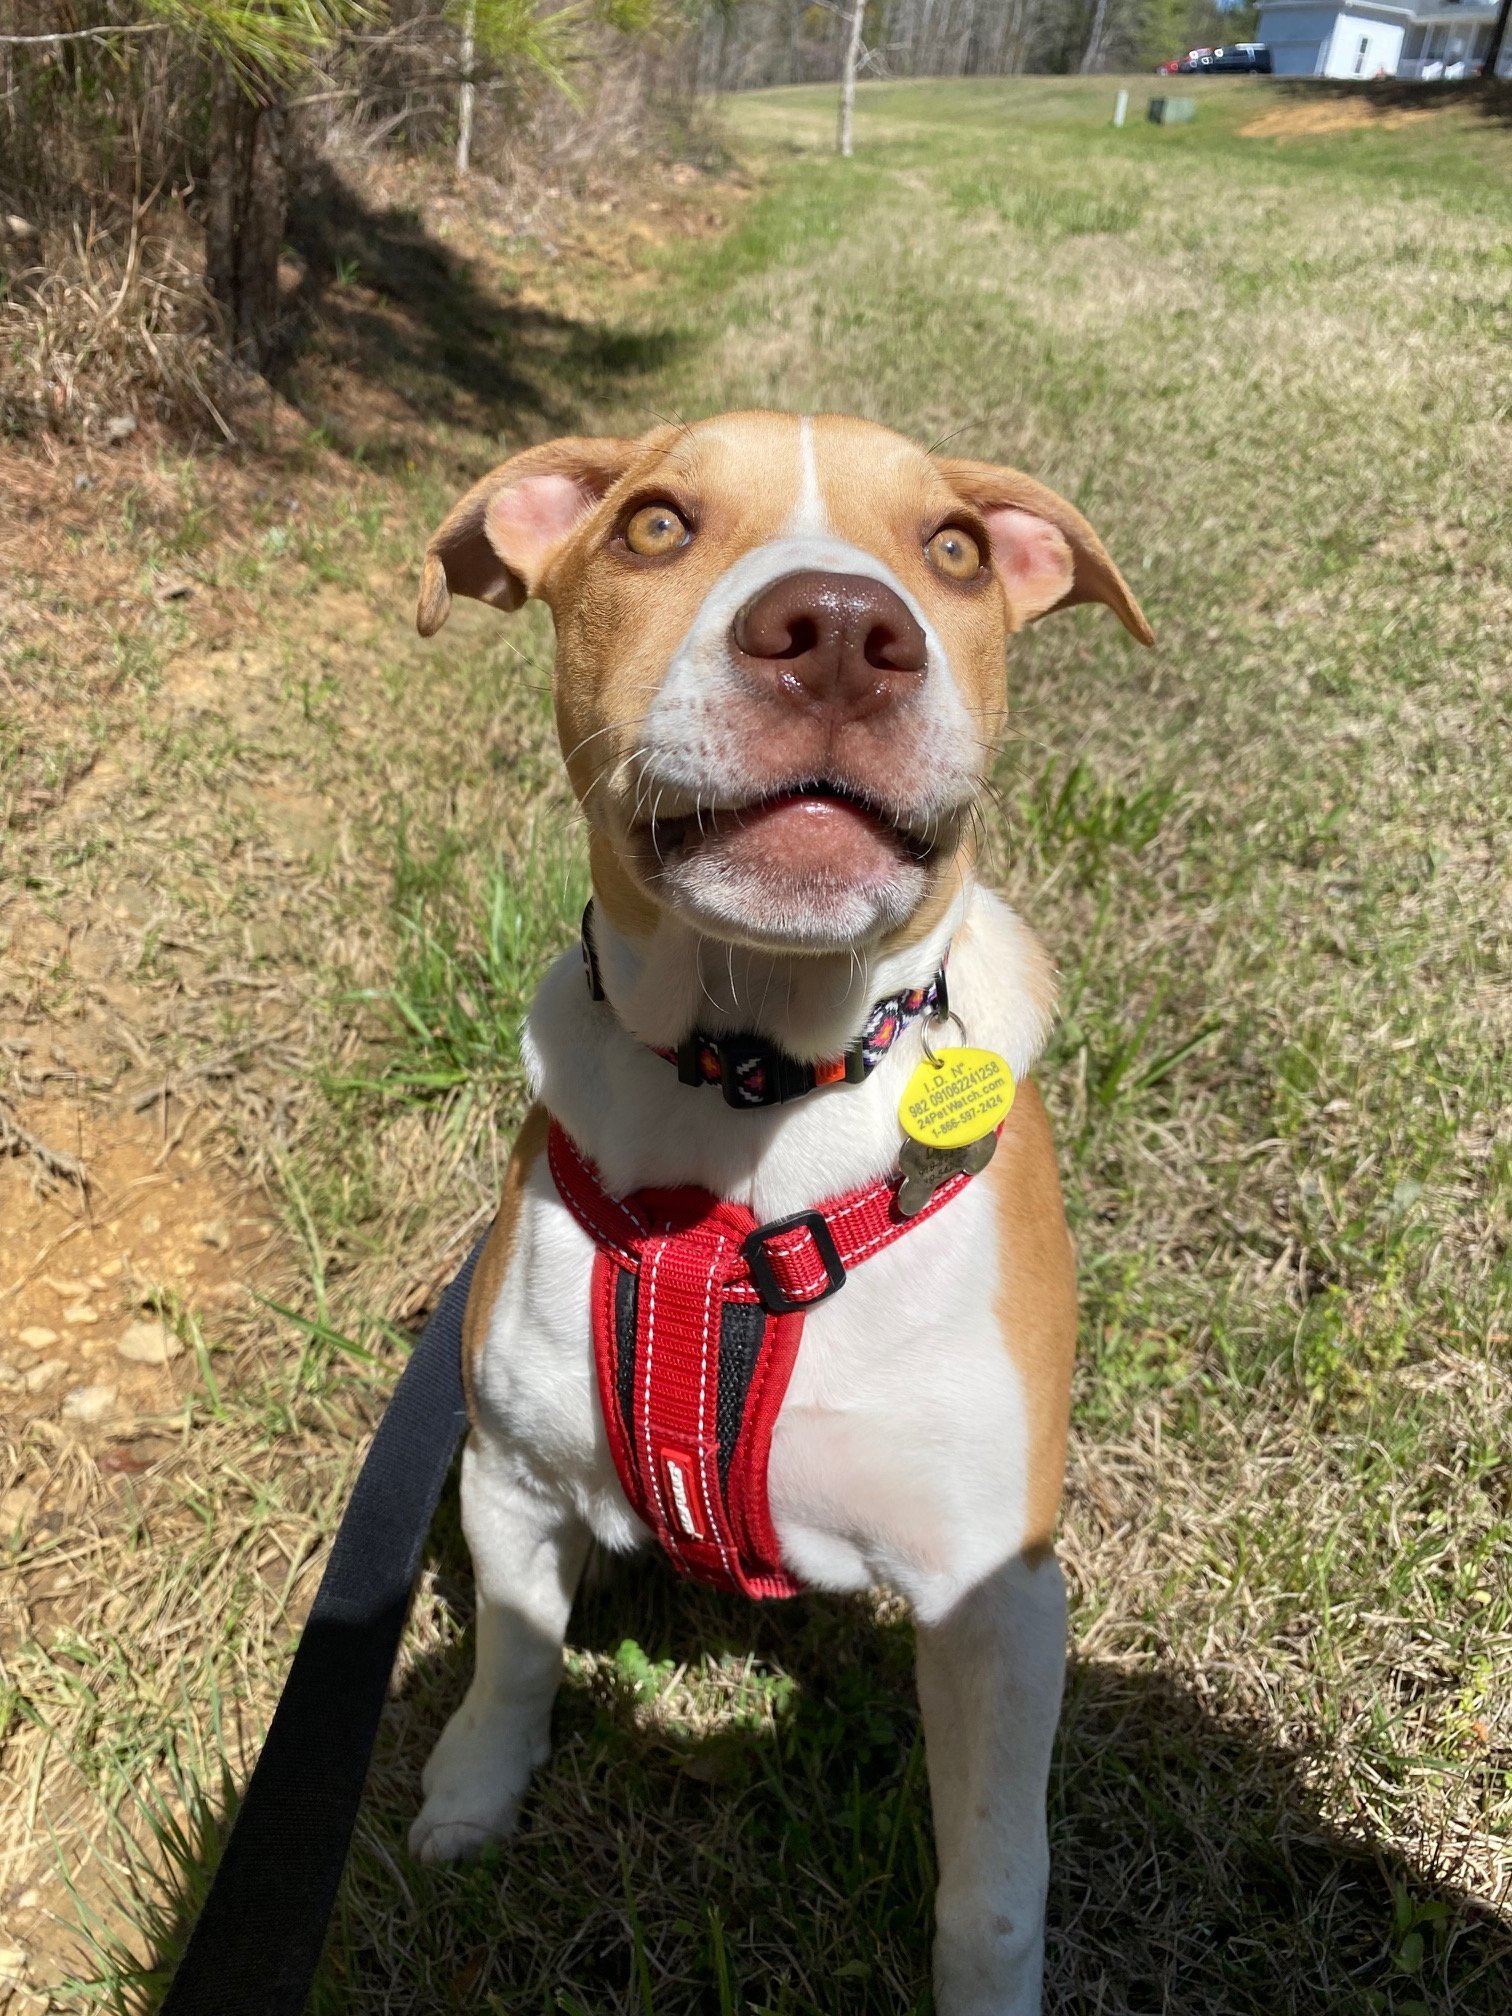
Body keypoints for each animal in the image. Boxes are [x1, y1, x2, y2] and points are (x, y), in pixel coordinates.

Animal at [409, 413, 1153, 2016]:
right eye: (652, 525)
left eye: (953, 549)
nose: (841, 635)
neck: (751, 1088)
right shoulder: (509, 1475)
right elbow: (511, 1655)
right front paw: (472, 1795)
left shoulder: (997, 1599)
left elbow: (992, 1888)